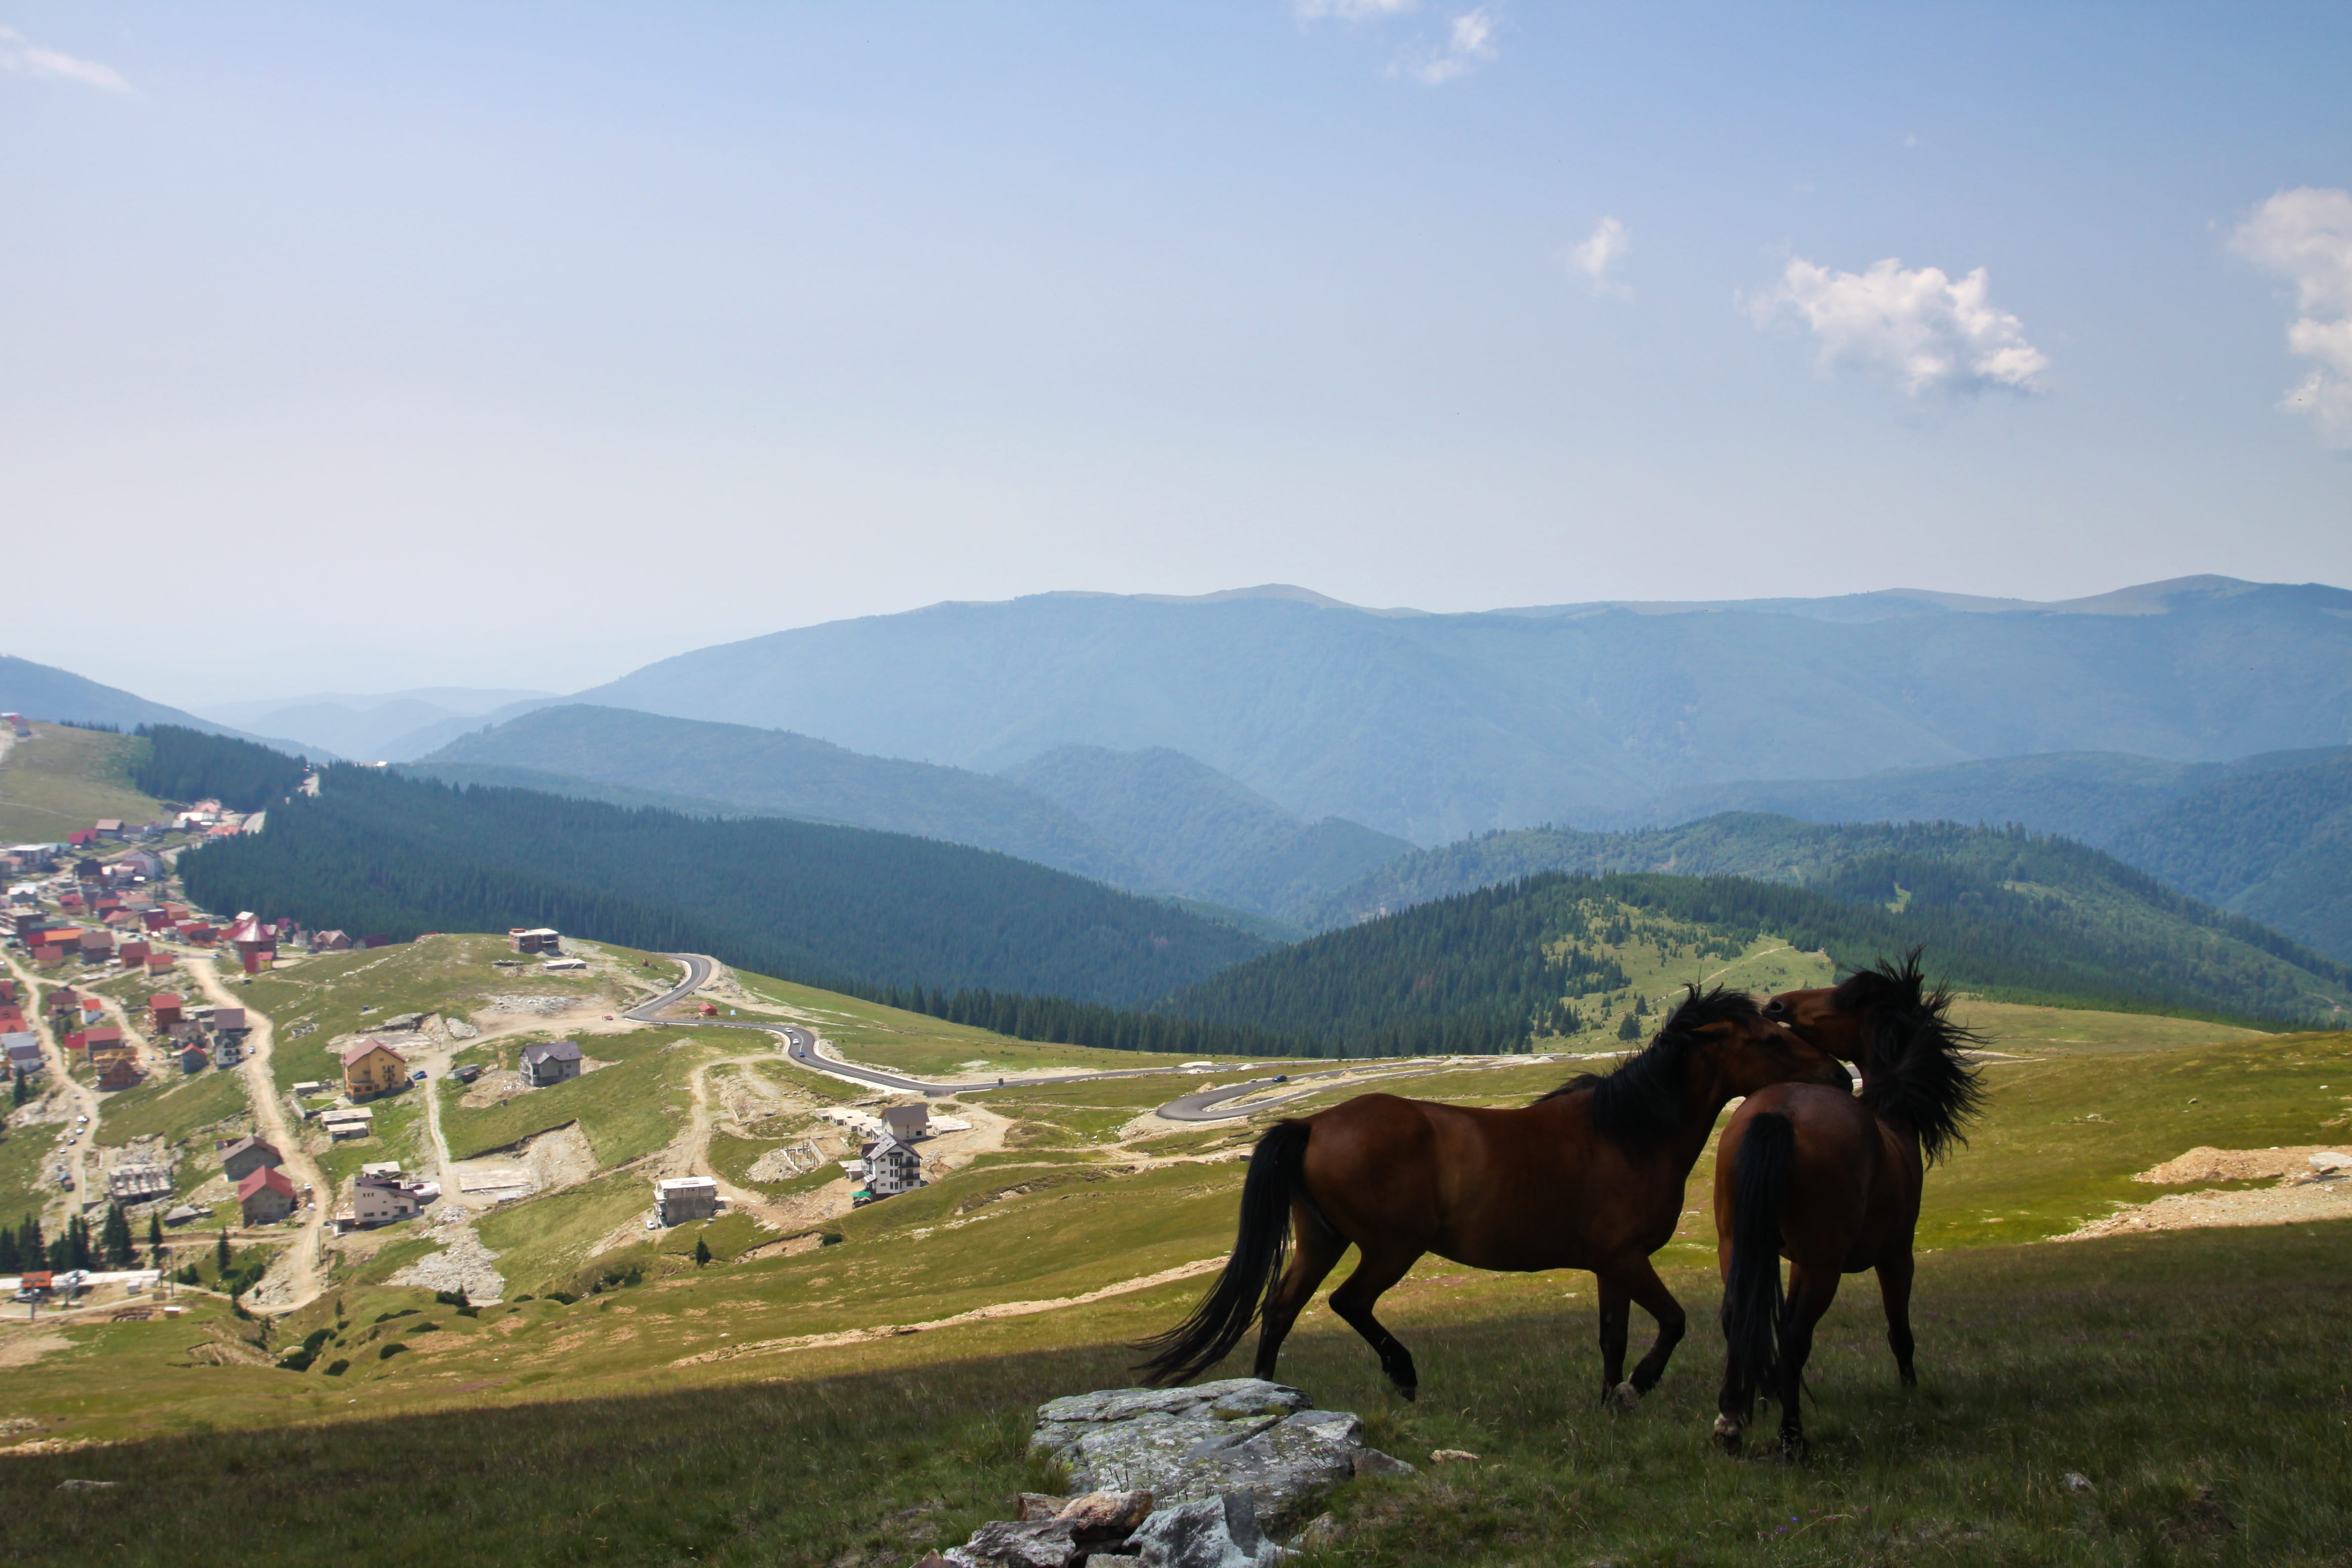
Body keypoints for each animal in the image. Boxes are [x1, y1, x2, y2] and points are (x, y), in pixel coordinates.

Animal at [1135, 986, 1850, 1405]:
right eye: (1771, 1040)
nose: (1839, 1077)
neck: (1631, 1132)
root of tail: (1313, 1123)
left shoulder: (1612, 1267)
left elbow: (1612, 1338)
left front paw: (1609, 1400)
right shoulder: (1627, 1260)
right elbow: (1671, 1322)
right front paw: (1638, 1387)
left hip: (1321, 1241)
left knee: (1281, 1309)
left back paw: (1268, 1388)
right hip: (1391, 1248)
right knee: (1348, 1303)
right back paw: (1402, 1374)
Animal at [1710, 952, 1985, 1456]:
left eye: (1842, 998)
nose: (1776, 1005)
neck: (1890, 1119)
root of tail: (1779, 1114)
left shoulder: (1793, 1261)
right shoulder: (1897, 1257)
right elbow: (1900, 1332)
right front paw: (1910, 1392)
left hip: (1738, 1246)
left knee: (1739, 1318)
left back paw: (1732, 1421)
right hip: (1827, 1267)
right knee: (1797, 1336)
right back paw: (1792, 1437)